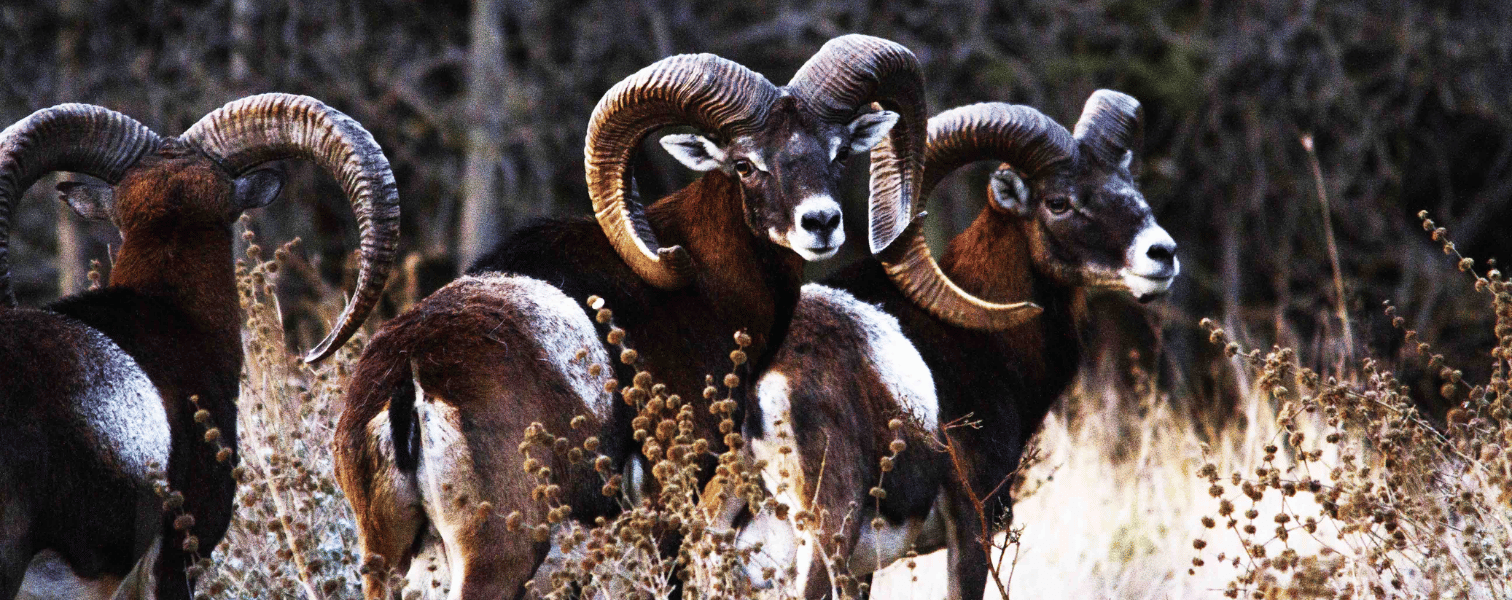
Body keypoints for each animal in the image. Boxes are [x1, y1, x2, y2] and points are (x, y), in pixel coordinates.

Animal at [331, 34, 929, 600]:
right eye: (744, 164)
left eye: (839, 154)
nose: (821, 223)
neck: (699, 287)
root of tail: (408, 389)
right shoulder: (673, 504)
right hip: (498, 558)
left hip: (388, 560)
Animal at [731, 92, 1179, 599]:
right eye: (1058, 202)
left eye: (1128, 183)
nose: (1162, 254)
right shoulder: (971, 528)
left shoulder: (865, 569)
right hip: (823, 538)